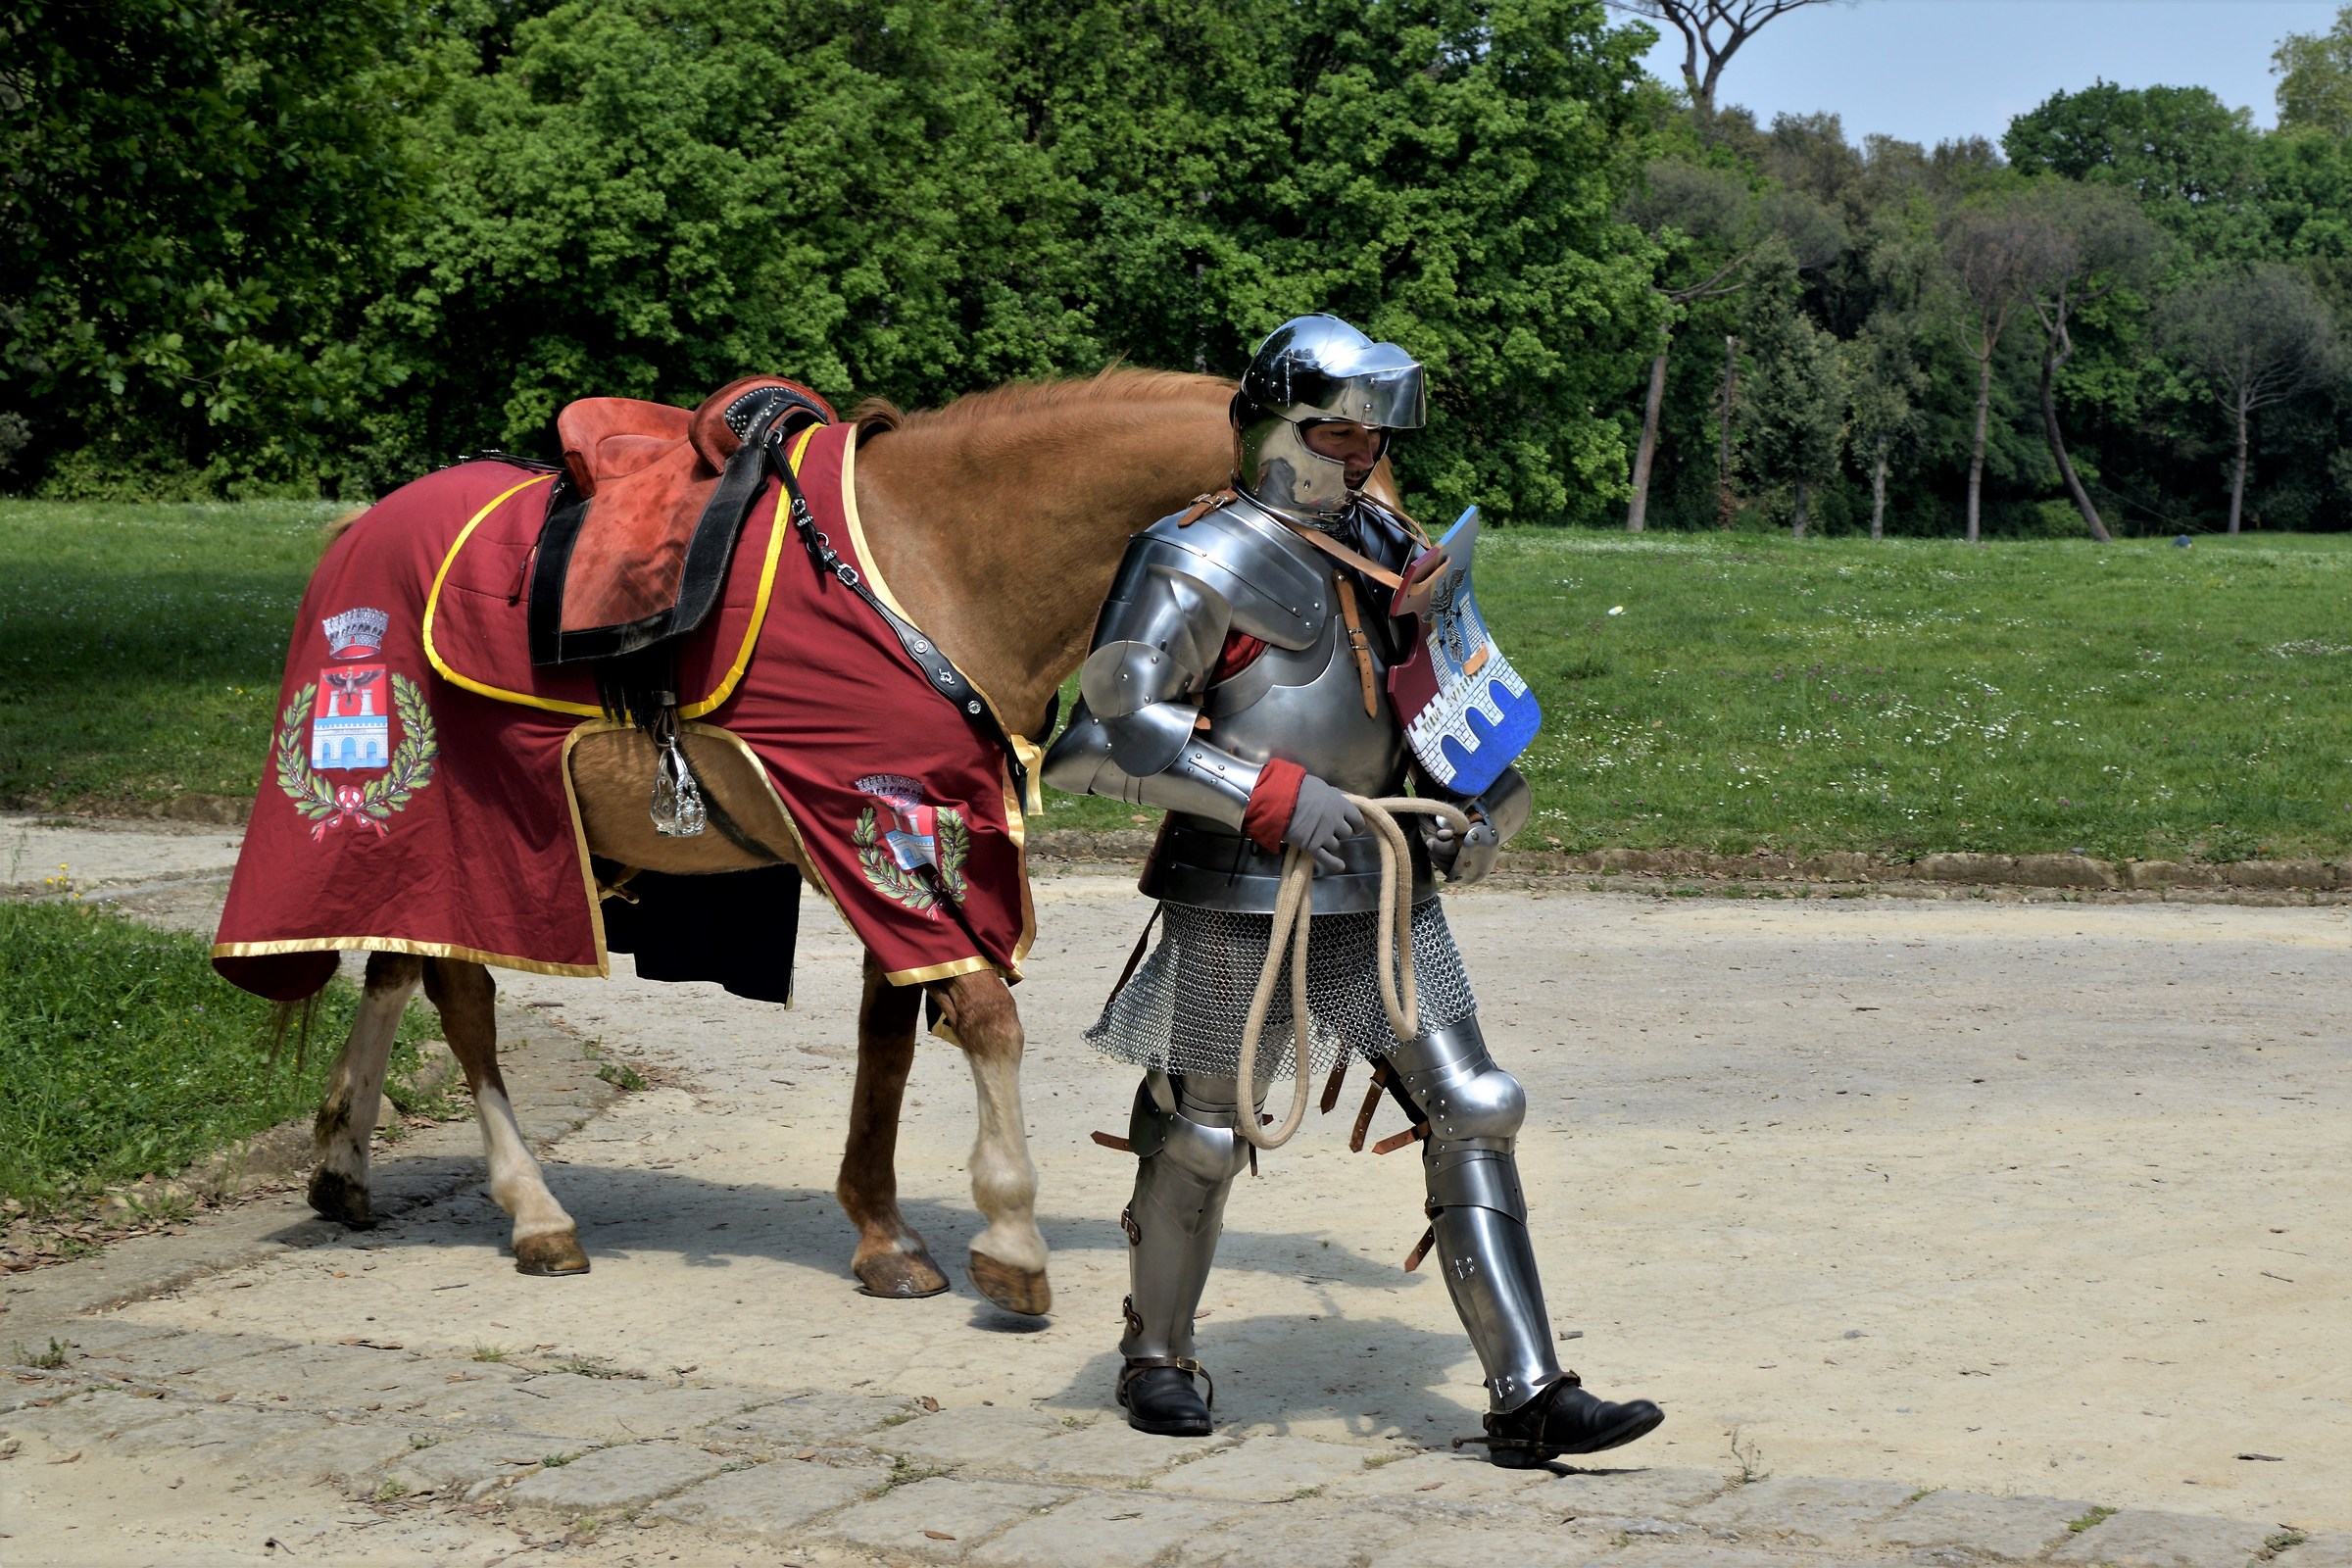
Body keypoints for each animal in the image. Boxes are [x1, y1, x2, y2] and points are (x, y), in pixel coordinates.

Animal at [295, 368, 1238, 1317]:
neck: (940, 560)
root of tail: (360, 528)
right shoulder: (875, 825)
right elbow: (985, 1017)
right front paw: (1011, 1237)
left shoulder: (901, 849)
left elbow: (889, 1038)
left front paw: (884, 1234)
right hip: (470, 832)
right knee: (461, 997)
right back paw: (534, 1211)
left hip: (437, 853)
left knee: (396, 964)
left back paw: (343, 1163)